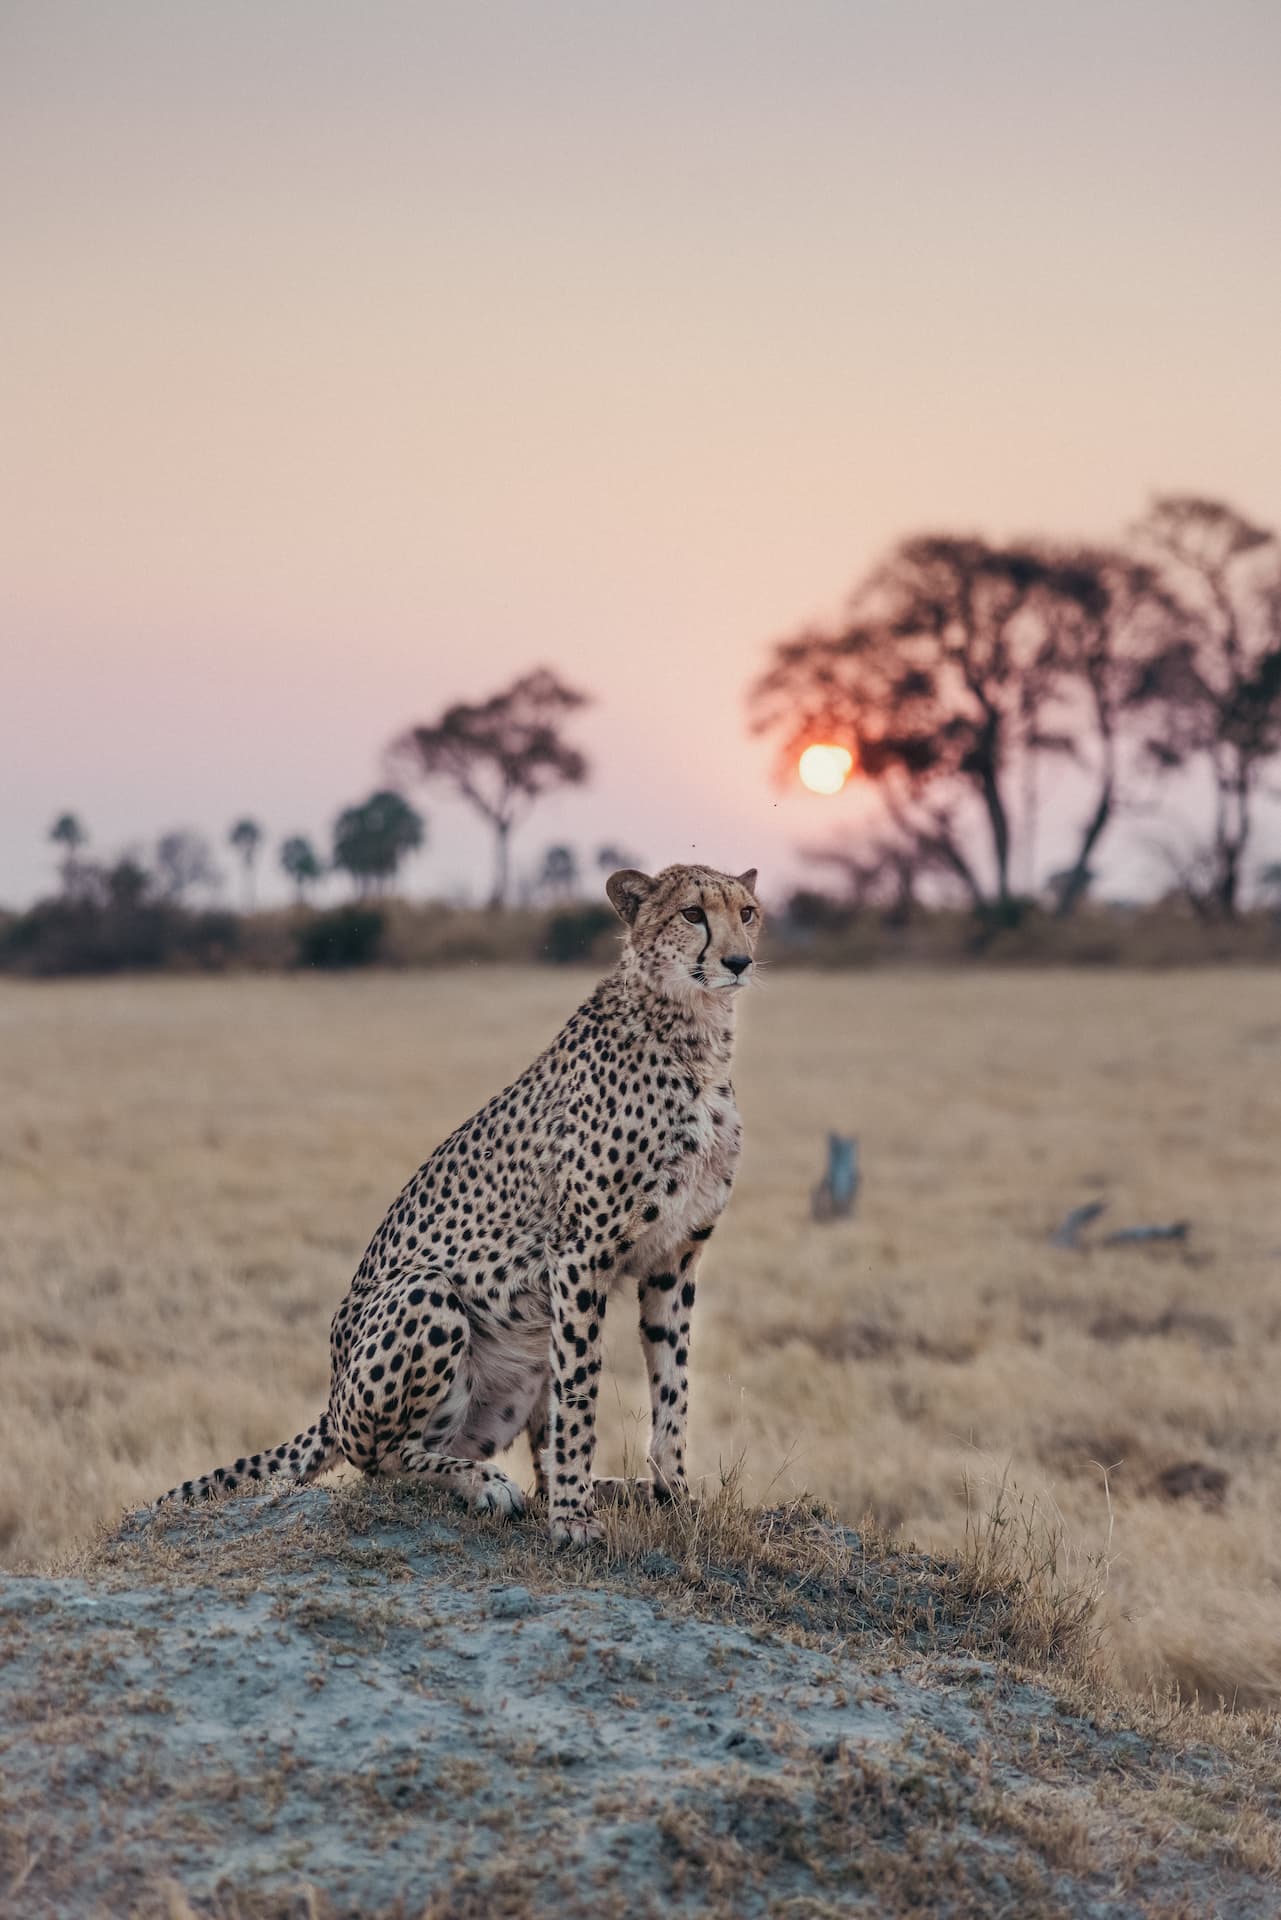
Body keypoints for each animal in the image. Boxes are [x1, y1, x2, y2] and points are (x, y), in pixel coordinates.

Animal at [155, 861, 760, 1547]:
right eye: (692, 914)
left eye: (747, 913)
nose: (739, 961)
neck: (696, 1036)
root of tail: (332, 1397)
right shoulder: (581, 1253)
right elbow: (582, 1394)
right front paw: (573, 1520)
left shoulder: (673, 1259)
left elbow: (672, 1385)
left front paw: (674, 1495)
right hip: (426, 1293)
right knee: (383, 1460)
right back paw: (486, 1483)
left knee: (523, 1459)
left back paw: (618, 1489)